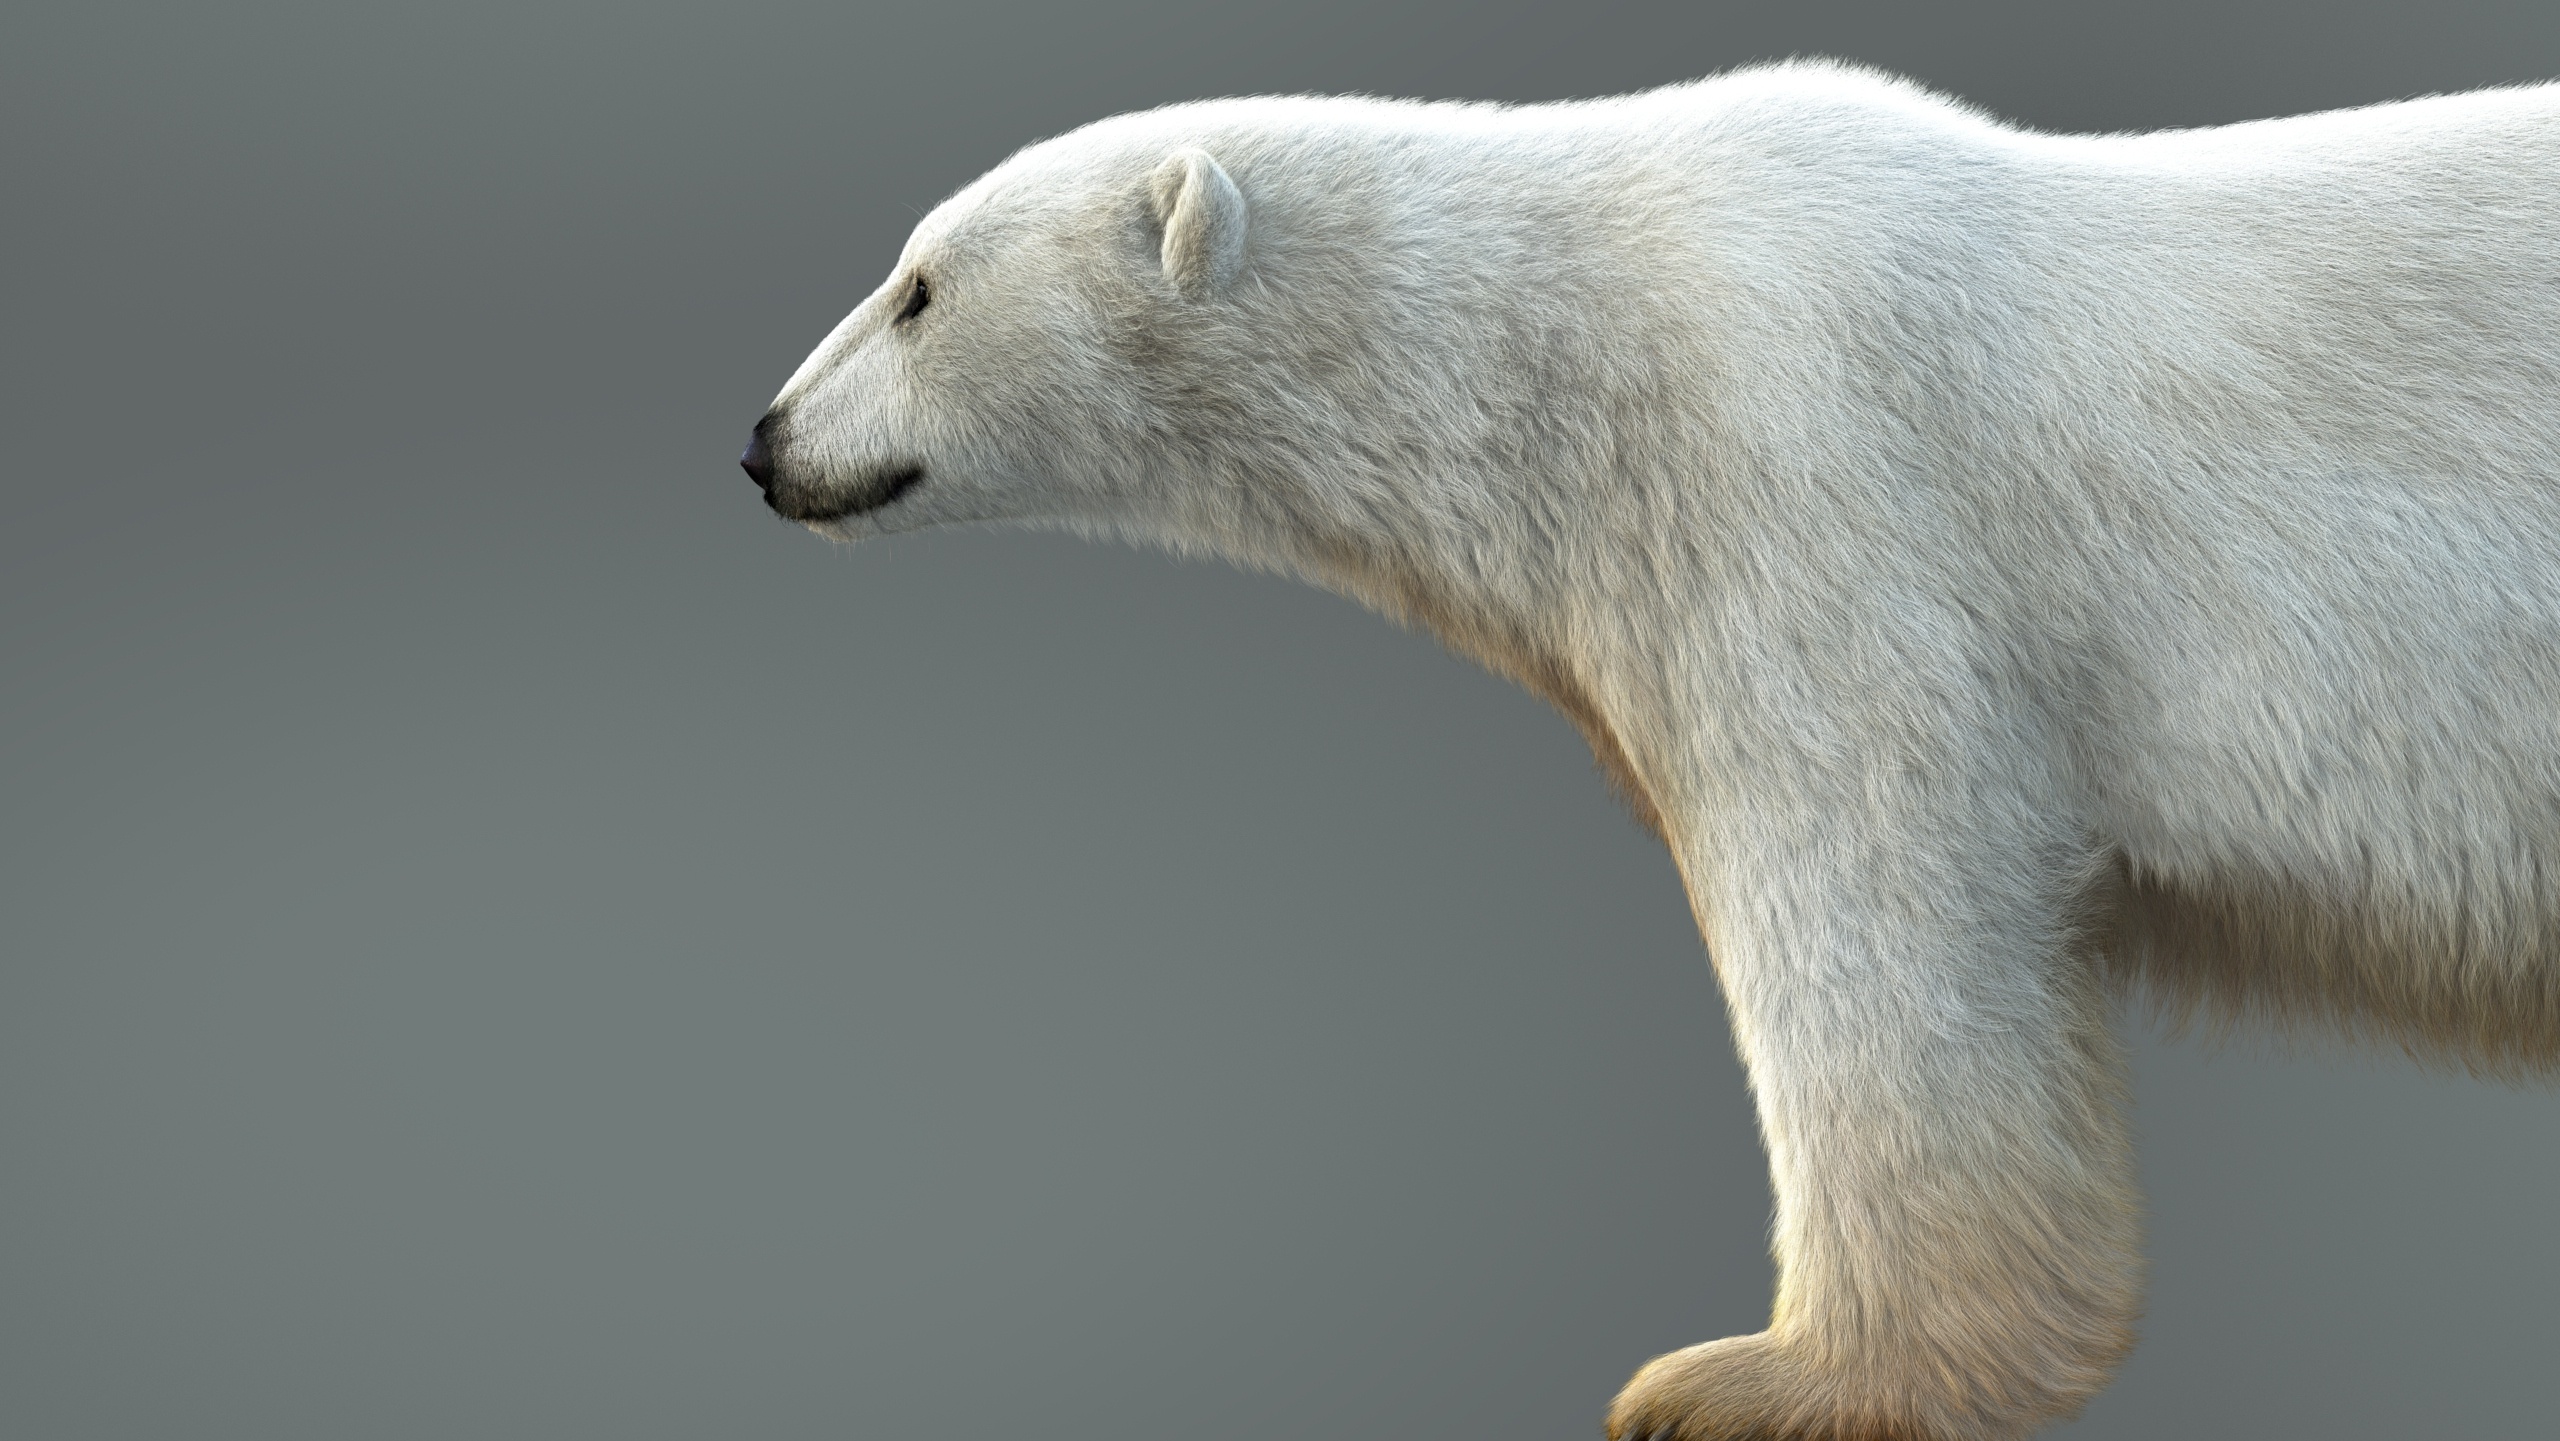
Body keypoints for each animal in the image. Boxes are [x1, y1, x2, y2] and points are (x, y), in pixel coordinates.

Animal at [739, 61, 2560, 1441]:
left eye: (917, 289)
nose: (764, 443)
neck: (1554, 348)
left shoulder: (1802, 483)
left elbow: (1881, 910)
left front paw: (1765, 1379)